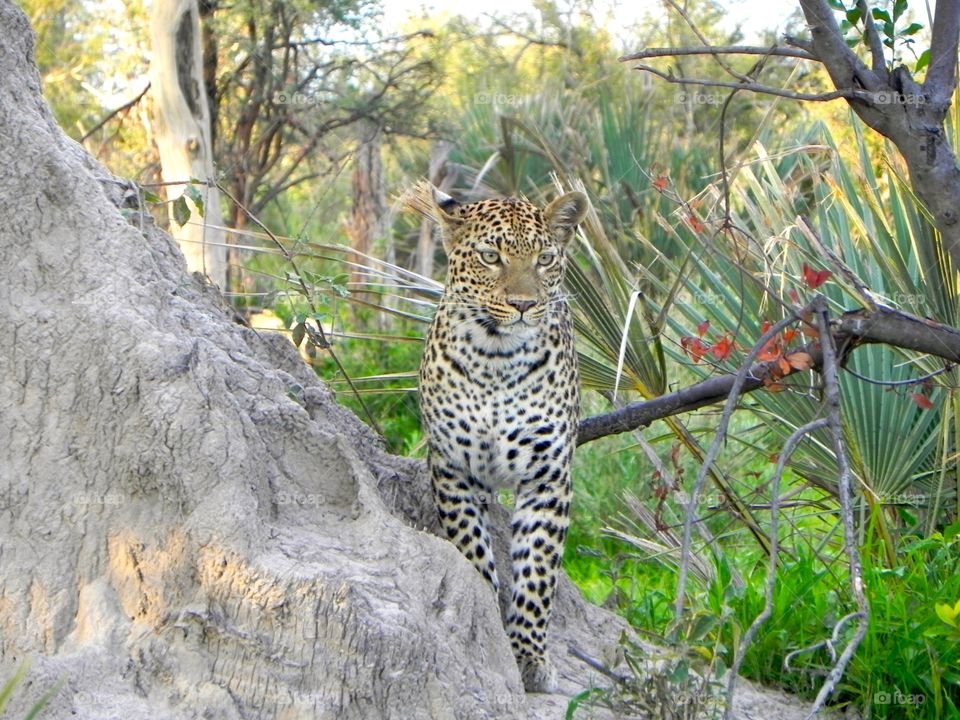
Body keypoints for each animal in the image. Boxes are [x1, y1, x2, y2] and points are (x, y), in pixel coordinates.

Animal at [404, 183, 584, 696]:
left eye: (545, 258)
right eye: (490, 256)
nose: (523, 304)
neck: (496, 361)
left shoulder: (547, 478)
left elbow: (537, 574)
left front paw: (528, 656)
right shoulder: (453, 469)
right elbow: (473, 551)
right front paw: (483, 624)